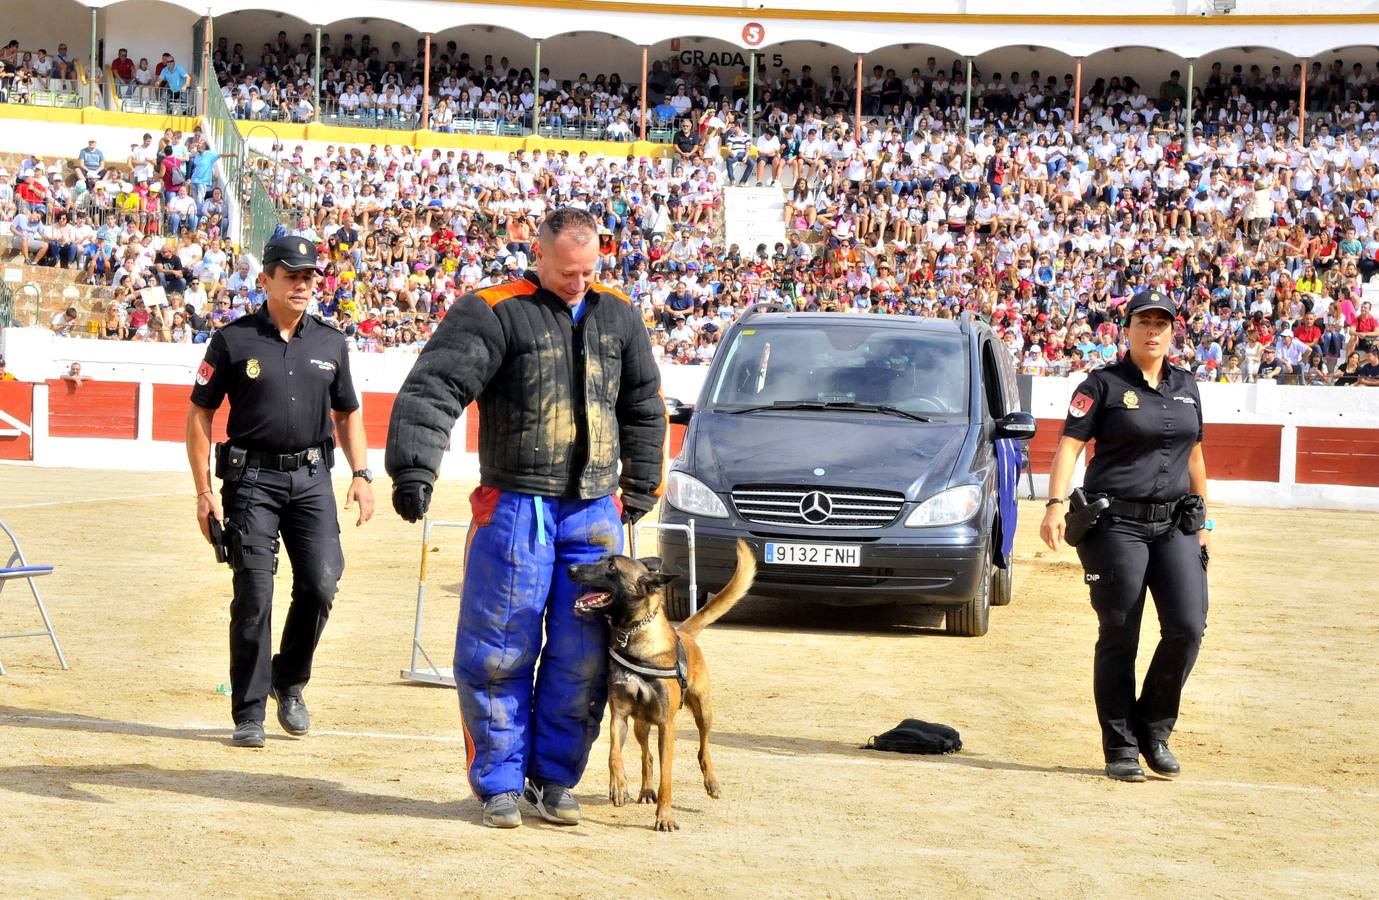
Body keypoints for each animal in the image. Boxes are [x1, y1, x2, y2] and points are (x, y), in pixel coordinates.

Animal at [568, 537, 761, 832]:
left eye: (611, 566)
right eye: (599, 560)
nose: (571, 568)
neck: (634, 635)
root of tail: (684, 632)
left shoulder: (666, 726)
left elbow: (666, 777)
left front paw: (665, 817)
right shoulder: (619, 715)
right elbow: (615, 754)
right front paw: (618, 785)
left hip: (703, 711)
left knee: (703, 747)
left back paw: (711, 782)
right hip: (640, 725)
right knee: (646, 756)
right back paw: (645, 790)